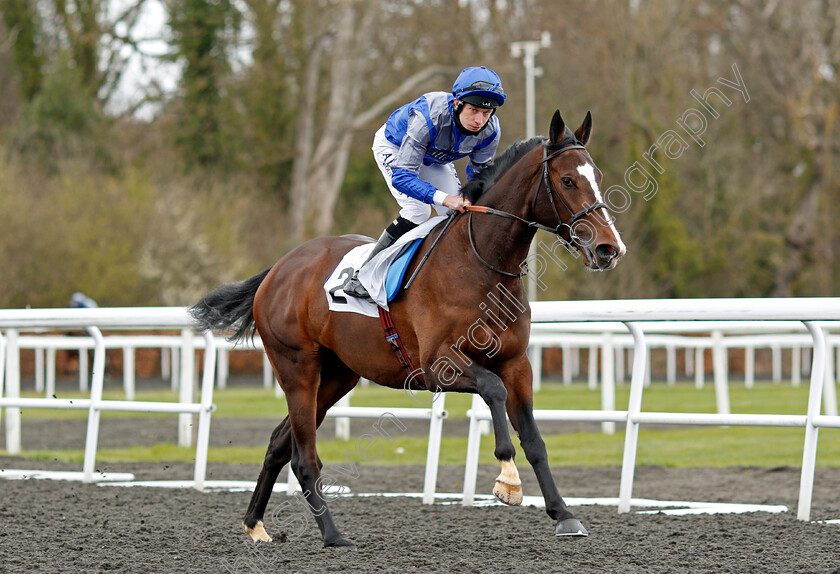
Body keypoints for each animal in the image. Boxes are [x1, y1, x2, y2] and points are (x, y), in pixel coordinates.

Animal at [190, 111, 624, 548]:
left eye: (599, 176)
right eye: (567, 180)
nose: (609, 248)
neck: (478, 261)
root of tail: (278, 269)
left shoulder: (516, 363)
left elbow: (534, 438)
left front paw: (564, 514)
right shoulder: (437, 366)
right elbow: (493, 390)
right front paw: (507, 478)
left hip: (337, 375)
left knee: (280, 443)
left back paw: (255, 524)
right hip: (297, 368)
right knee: (304, 456)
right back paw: (333, 535)